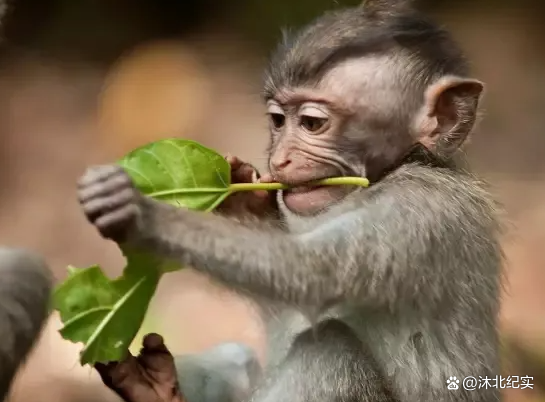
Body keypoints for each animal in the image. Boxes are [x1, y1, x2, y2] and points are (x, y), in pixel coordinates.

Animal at [77, 0, 502, 402]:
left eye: (312, 123)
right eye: (278, 121)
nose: (279, 159)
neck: (399, 167)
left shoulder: (420, 209)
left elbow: (311, 273)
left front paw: (143, 215)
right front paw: (248, 205)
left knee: (331, 348)